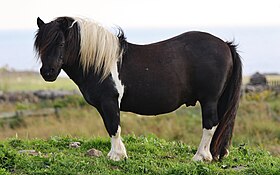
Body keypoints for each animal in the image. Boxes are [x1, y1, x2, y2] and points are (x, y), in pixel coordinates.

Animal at [34, 16, 242, 161]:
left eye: (61, 43)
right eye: (40, 46)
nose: (48, 73)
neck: (100, 63)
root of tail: (225, 45)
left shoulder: (109, 101)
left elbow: (114, 126)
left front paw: (117, 156)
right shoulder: (104, 105)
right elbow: (110, 126)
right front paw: (117, 154)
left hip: (209, 100)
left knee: (210, 124)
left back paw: (200, 157)